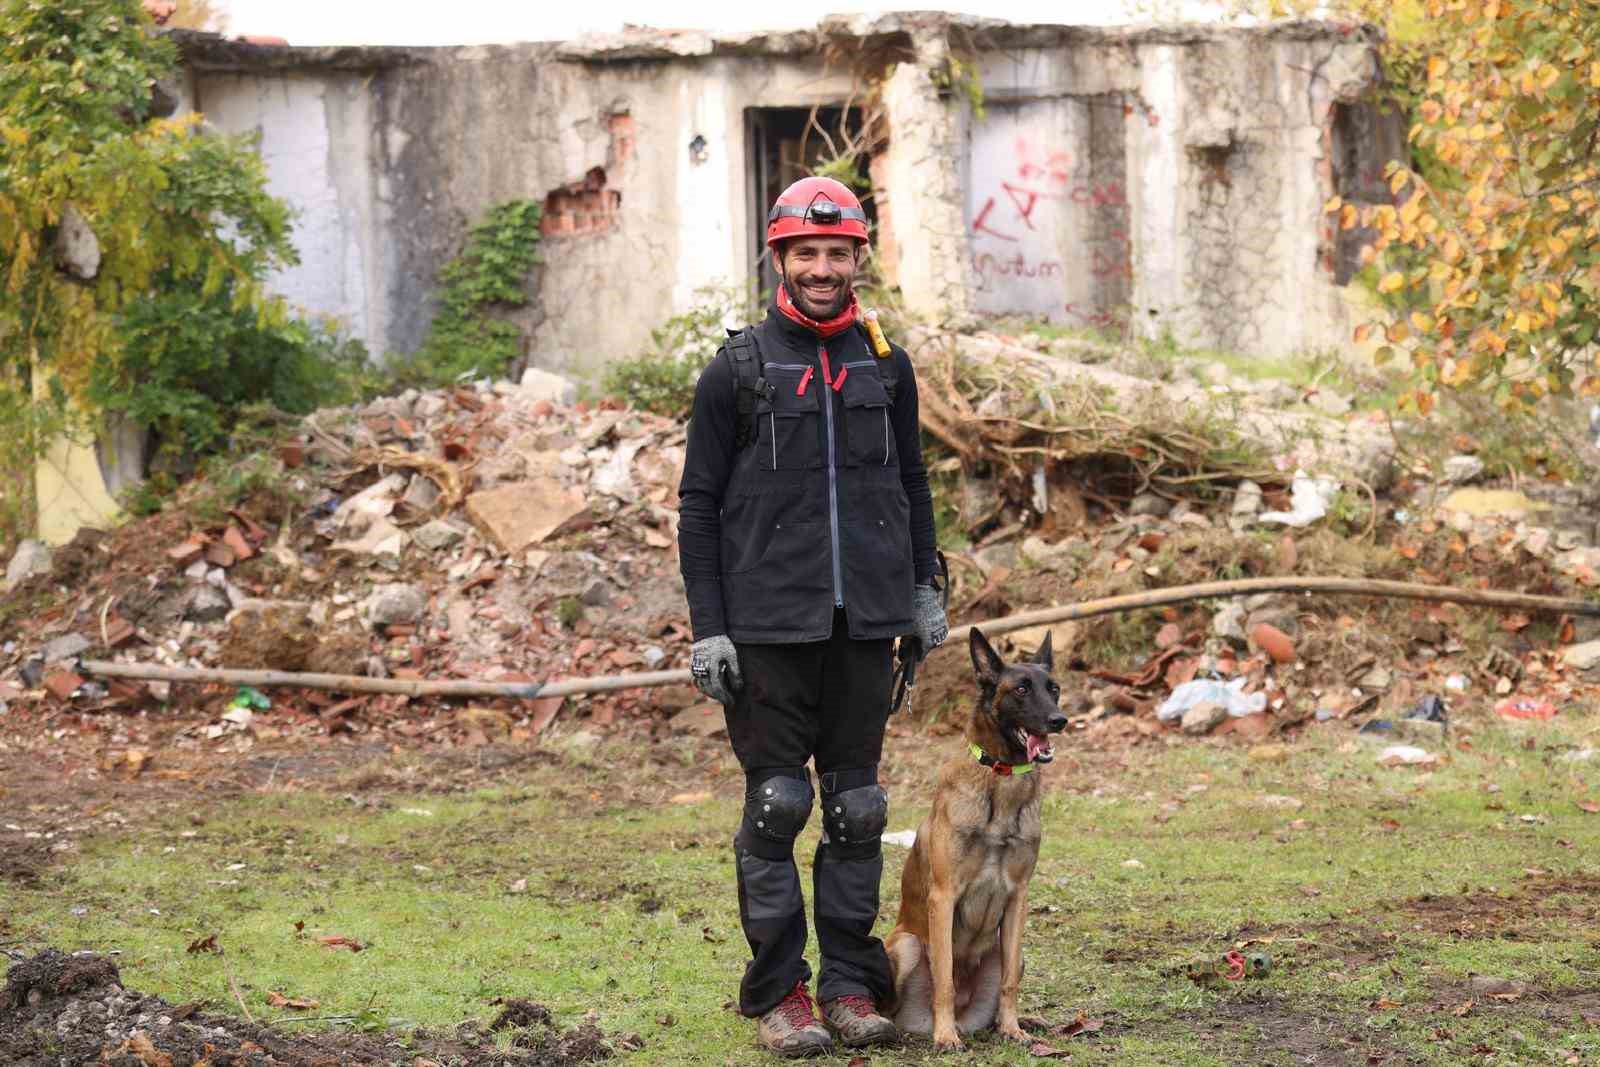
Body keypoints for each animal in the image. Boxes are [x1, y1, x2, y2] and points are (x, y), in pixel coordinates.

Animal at [883, 627, 1068, 1049]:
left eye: (1054, 689)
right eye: (1021, 689)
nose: (1059, 720)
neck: (1001, 783)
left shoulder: (1018, 898)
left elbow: (1009, 983)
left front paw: (1013, 1027)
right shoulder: (943, 896)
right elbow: (944, 979)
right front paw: (945, 1036)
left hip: (1010, 950)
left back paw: (1015, 1023)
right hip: (907, 945)